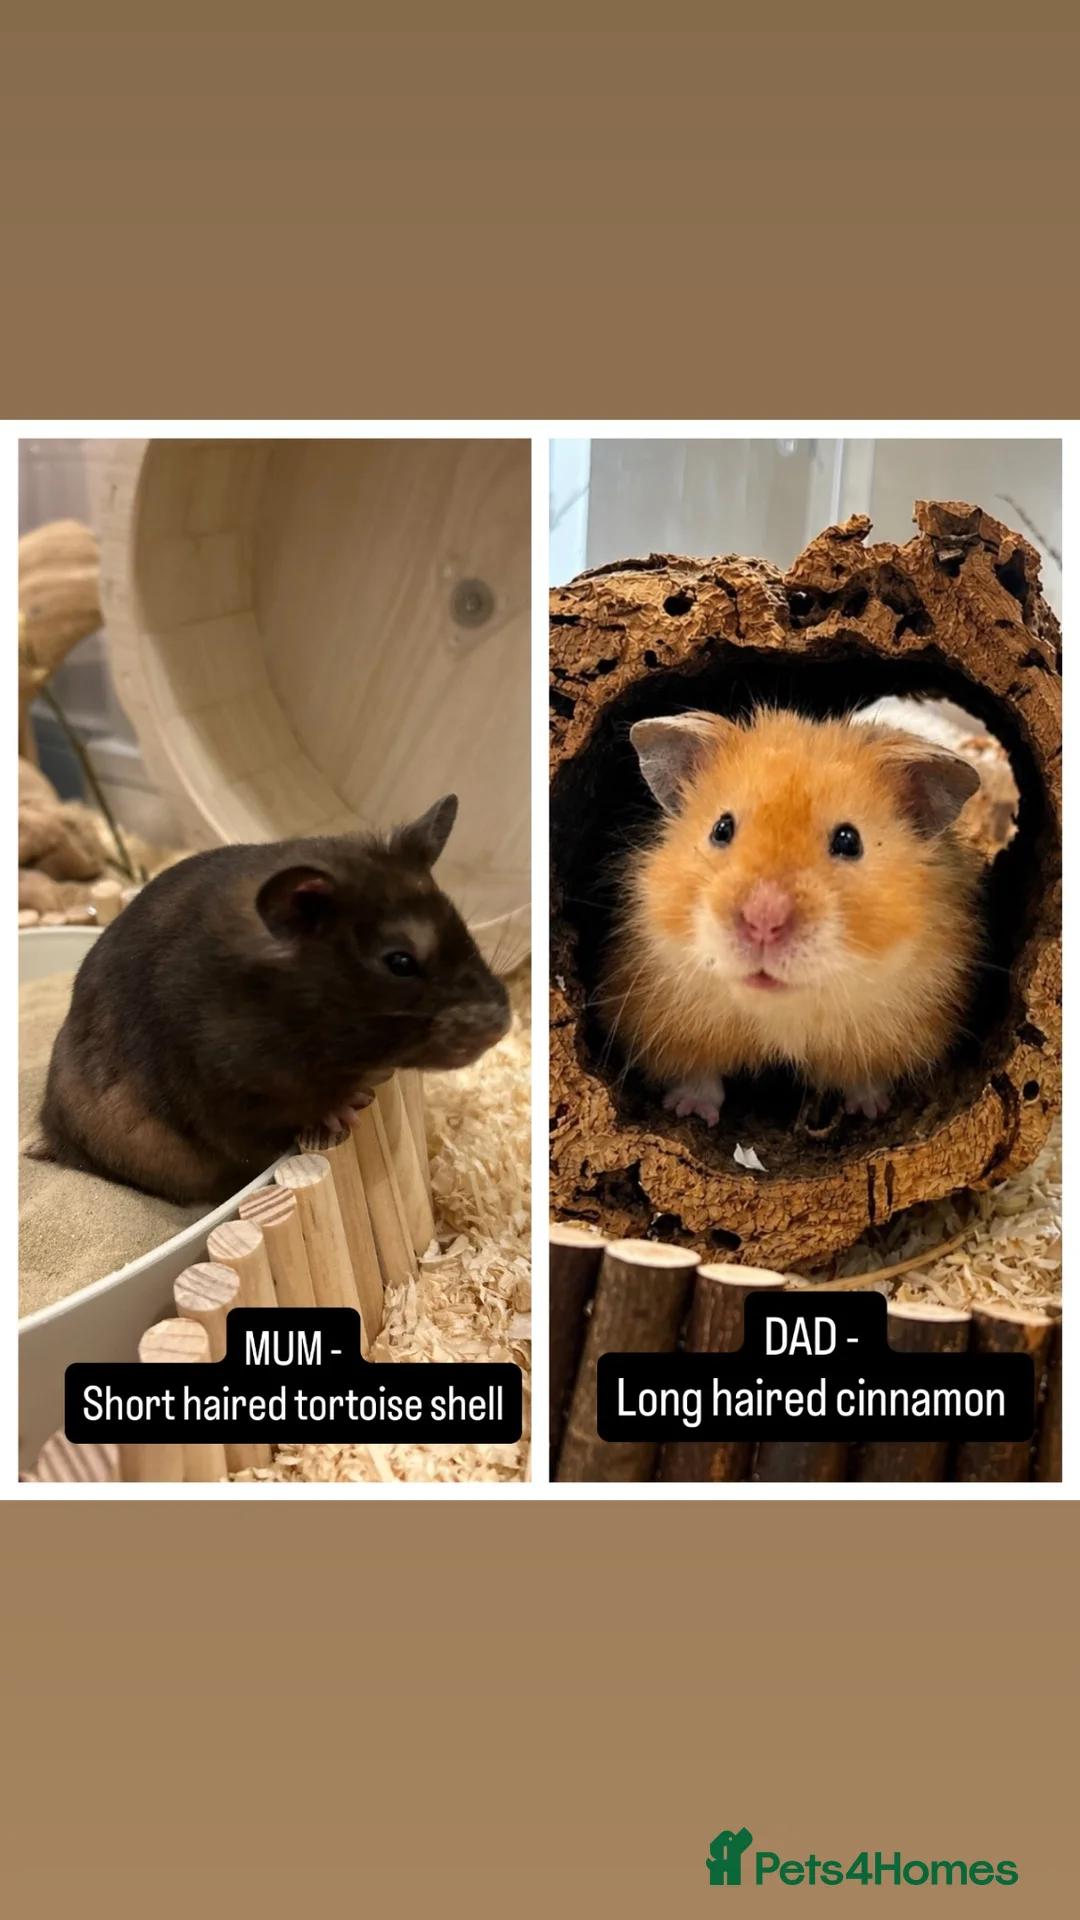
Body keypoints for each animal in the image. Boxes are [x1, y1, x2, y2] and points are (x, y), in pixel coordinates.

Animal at [600, 708, 984, 1127]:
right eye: (721, 828)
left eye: (849, 841)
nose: (763, 920)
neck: (781, 1008)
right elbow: (698, 1074)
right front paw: (690, 1110)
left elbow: (865, 1077)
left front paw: (870, 1110)